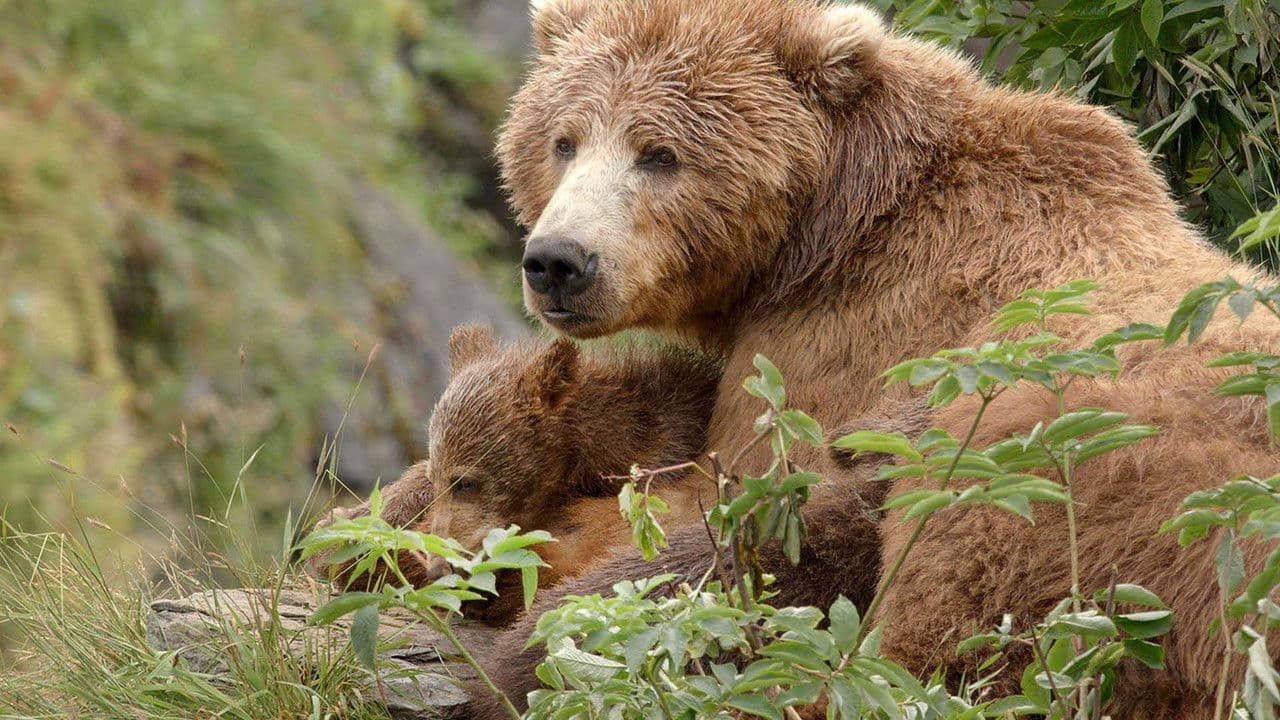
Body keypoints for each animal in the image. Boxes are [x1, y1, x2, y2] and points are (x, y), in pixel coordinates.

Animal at [471, 0, 1280, 716]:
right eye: (563, 140)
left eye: (660, 154)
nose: (559, 262)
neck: (826, 230)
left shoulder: (836, 347)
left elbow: (708, 497)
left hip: (1064, 472)